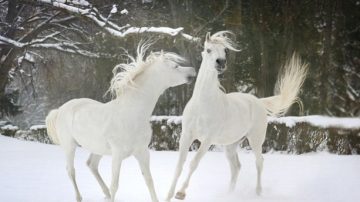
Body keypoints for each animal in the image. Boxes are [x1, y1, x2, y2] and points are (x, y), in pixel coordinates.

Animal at [46, 41, 197, 202]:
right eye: (175, 66)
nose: (193, 70)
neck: (132, 114)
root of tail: (60, 110)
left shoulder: (142, 152)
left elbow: (149, 180)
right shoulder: (117, 155)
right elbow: (115, 185)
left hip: (97, 148)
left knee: (92, 165)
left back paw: (105, 194)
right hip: (69, 146)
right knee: (71, 171)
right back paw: (80, 197)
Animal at [166, 31, 306, 200]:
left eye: (225, 50)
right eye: (208, 50)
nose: (221, 62)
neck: (203, 104)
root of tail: (258, 102)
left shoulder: (207, 140)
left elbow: (194, 163)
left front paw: (180, 193)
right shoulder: (186, 135)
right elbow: (179, 165)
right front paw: (168, 195)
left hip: (255, 140)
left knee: (259, 162)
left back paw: (258, 193)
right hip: (230, 145)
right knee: (236, 167)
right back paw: (229, 194)